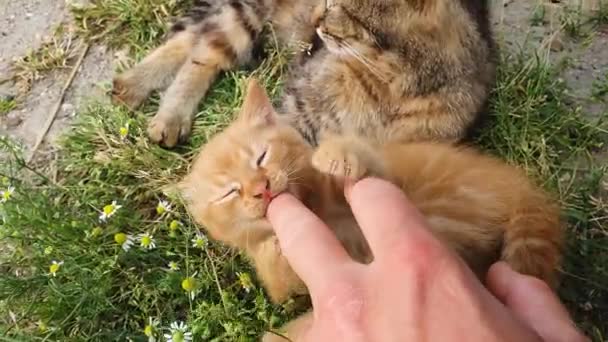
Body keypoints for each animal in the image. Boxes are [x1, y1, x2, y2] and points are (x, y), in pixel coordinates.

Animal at [111, 0, 496, 146]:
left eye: (340, 8)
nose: (315, 19)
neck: (388, 85)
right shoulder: (298, 105)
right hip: (247, 14)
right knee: (203, 51)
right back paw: (161, 108)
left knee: (195, 38)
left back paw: (131, 87)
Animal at [180, 79, 564, 340]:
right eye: (229, 192)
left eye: (261, 156)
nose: (261, 190)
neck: (319, 208)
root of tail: (517, 187)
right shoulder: (287, 289)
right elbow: (282, 287)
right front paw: (272, 250)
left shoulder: (385, 175)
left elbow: (368, 165)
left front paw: (338, 154)